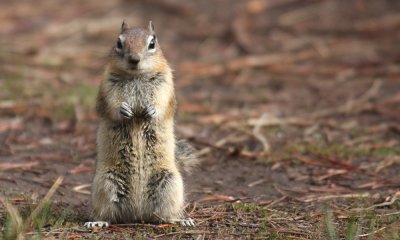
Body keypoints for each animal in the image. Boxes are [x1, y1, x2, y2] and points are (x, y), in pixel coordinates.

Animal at [84, 21, 197, 229]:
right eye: (118, 42)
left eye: (152, 43)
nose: (134, 59)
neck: (136, 76)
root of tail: (136, 214)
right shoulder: (108, 85)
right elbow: (111, 105)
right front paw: (123, 110)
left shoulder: (165, 84)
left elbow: (162, 103)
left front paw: (152, 110)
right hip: (105, 183)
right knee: (107, 213)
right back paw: (97, 222)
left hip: (169, 183)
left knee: (164, 215)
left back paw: (181, 220)